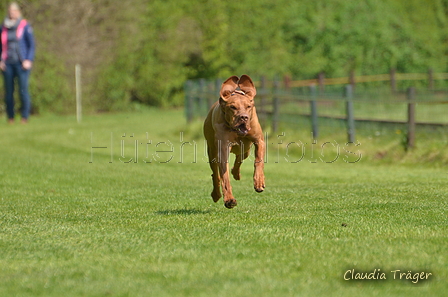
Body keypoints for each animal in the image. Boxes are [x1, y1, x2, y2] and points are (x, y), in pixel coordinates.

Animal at [204, 74, 264, 208]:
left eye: (248, 106)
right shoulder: (222, 149)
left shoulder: (259, 140)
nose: (244, 117)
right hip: (212, 152)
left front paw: (259, 181)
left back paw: (236, 173)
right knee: (215, 174)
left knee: (240, 157)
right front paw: (229, 200)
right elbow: (224, 177)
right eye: (232, 107)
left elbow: (258, 160)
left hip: (246, 148)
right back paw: (216, 194)